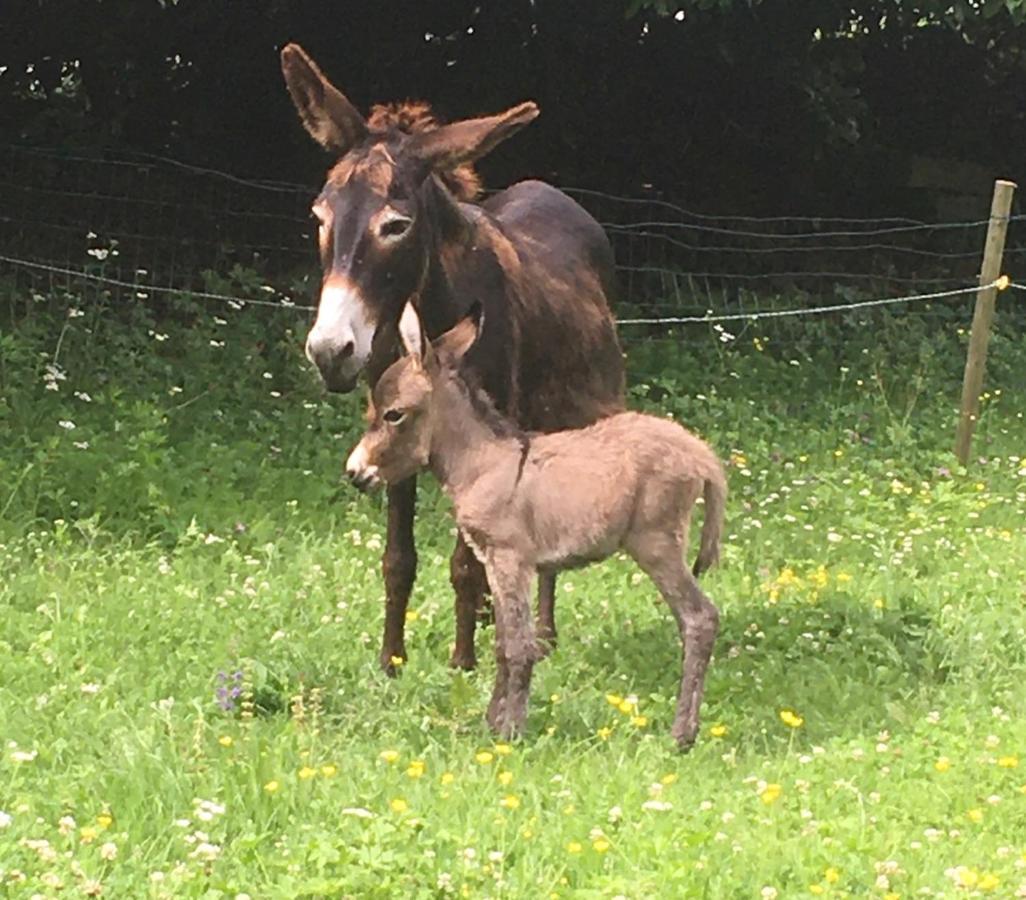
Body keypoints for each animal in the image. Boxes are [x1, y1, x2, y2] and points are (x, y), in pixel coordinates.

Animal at [348, 305, 726, 747]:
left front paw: (509, 731)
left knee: (700, 618)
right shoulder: (492, 562)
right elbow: (500, 642)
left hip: (656, 544)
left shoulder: (511, 560)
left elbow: (518, 645)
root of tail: (701, 454)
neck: (482, 464)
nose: (355, 473)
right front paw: (492, 723)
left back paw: (682, 734)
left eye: (394, 415)